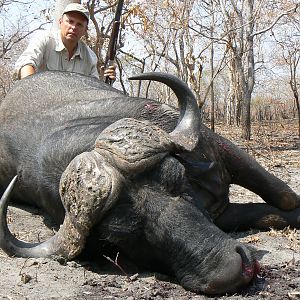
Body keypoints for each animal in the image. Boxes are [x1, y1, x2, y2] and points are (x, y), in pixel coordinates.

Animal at [0, 71, 298, 296]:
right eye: (121, 237)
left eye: (177, 178)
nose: (231, 271)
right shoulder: (221, 214)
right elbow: (271, 214)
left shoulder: (223, 151)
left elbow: (284, 196)